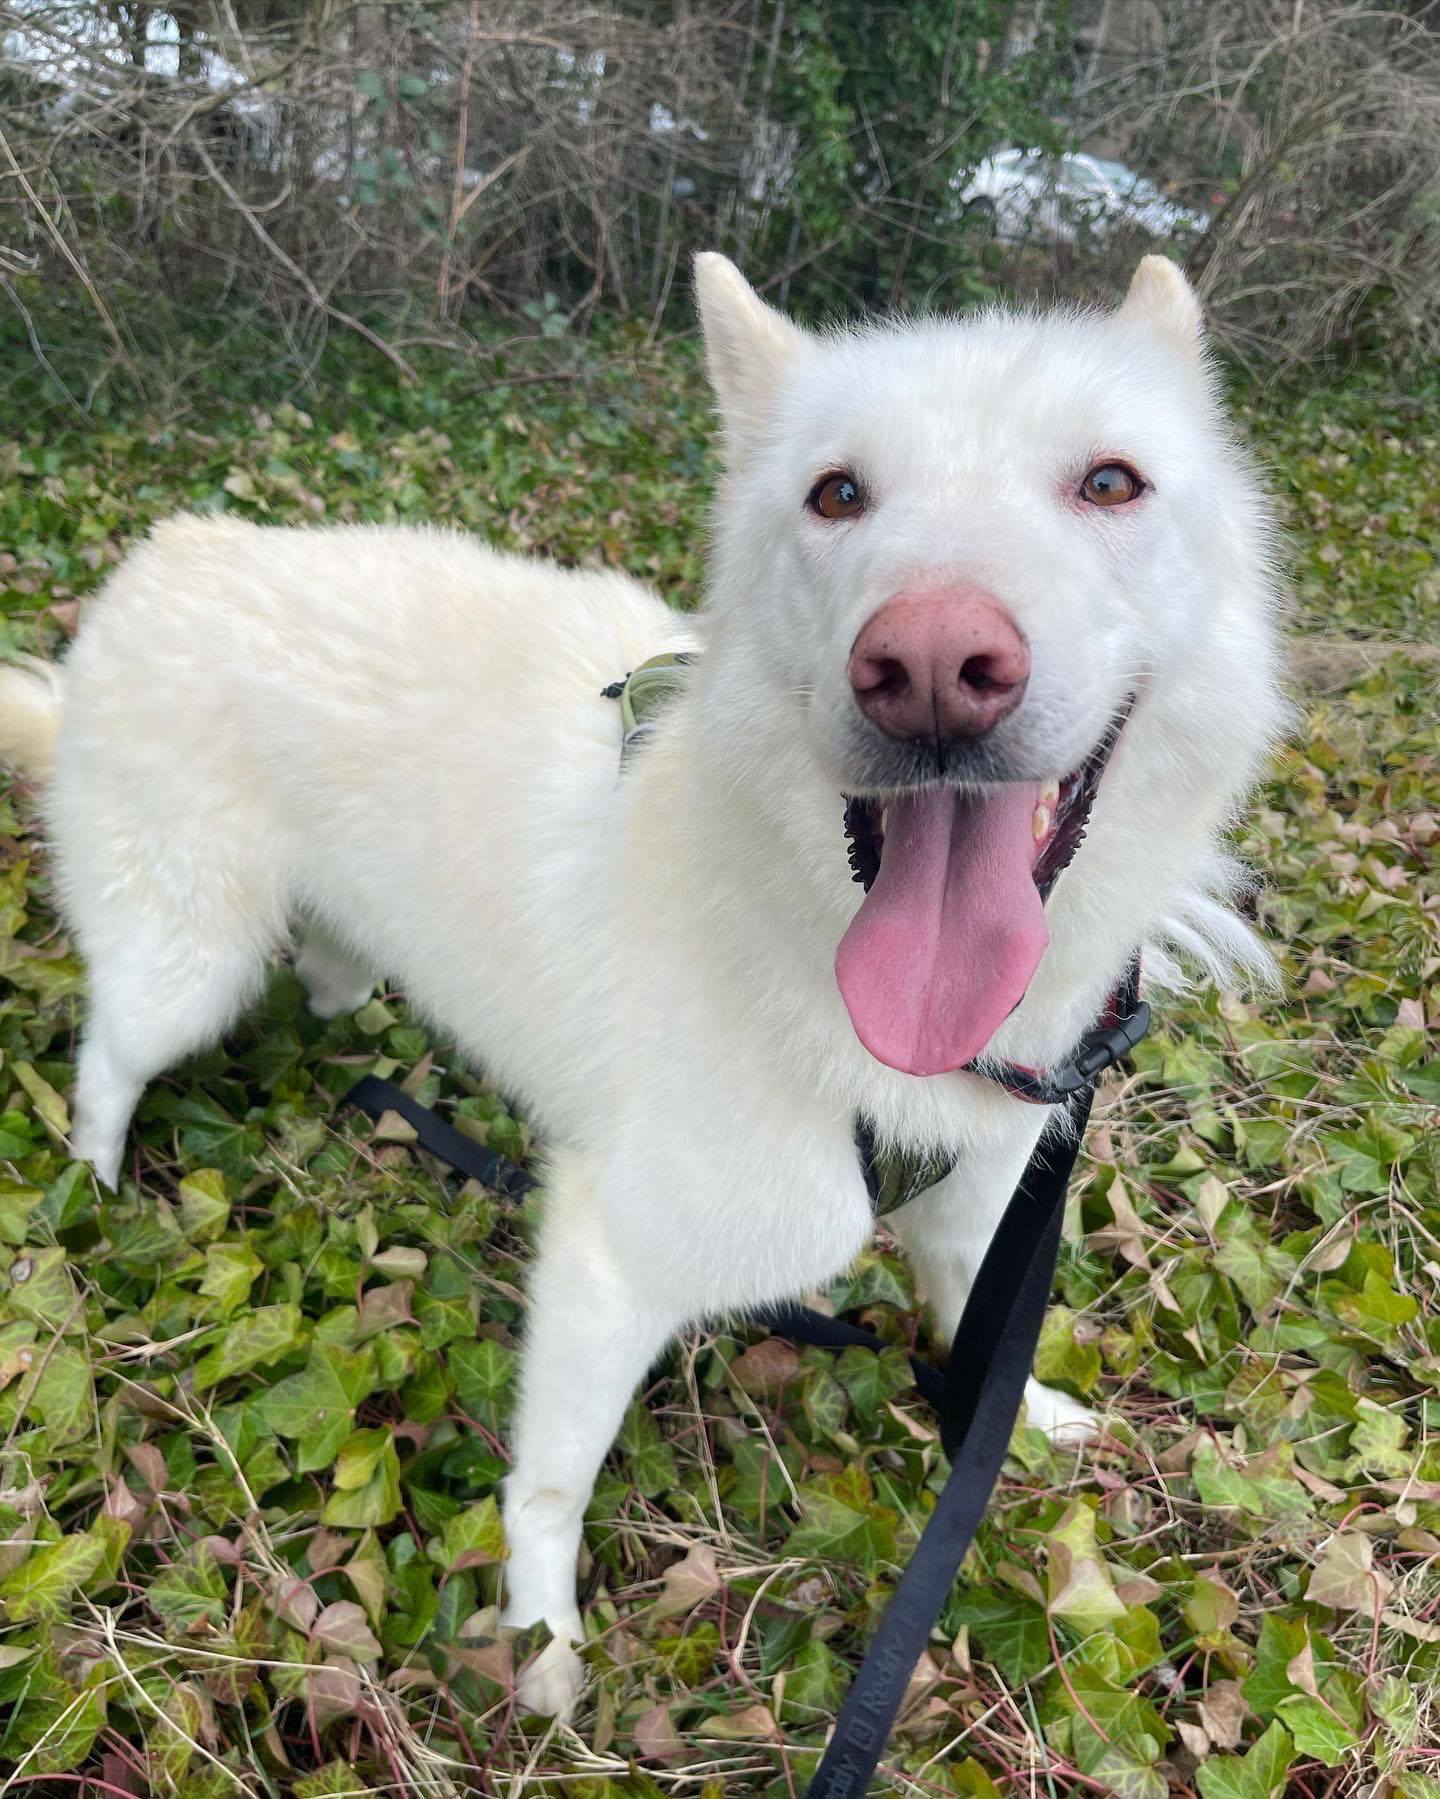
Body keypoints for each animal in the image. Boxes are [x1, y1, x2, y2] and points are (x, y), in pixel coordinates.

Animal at [0, 257, 1281, 1712]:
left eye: (1110, 481)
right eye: (837, 493)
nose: (930, 671)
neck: (810, 942)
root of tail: (163, 559)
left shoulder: (979, 1205)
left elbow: (974, 1324)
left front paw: (1025, 1417)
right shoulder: (613, 1262)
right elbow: (549, 1485)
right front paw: (543, 1649)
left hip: (333, 938)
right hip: (187, 969)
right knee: (105, 1060)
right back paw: (94, 1193)